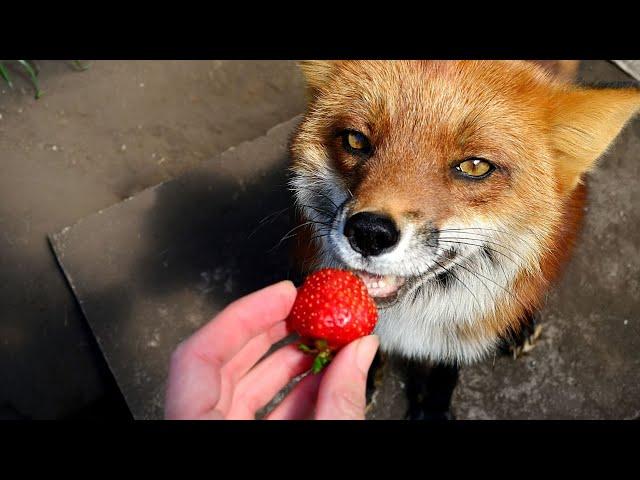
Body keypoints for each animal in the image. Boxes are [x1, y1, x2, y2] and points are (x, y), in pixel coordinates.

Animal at [288, 60, 640, 418]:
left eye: (474, 166)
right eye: (356, 140)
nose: (369, 233)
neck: (416, 312)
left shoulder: (462, 334)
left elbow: (446, 371)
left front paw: (433, 410)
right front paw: (367, 379)